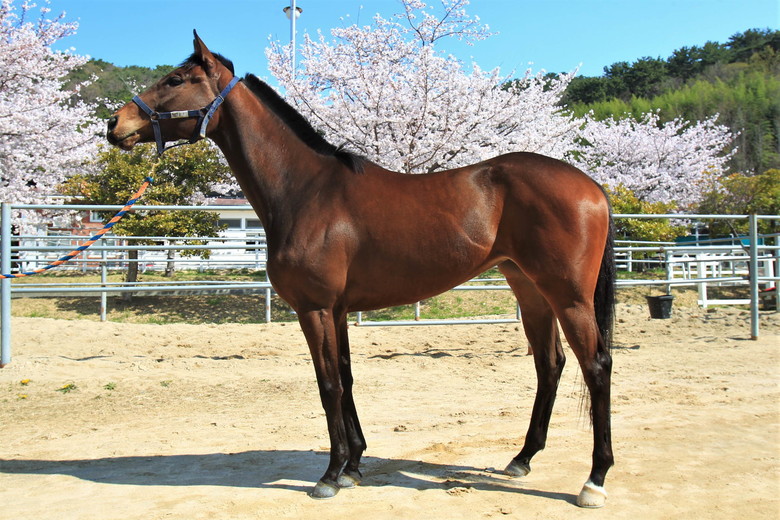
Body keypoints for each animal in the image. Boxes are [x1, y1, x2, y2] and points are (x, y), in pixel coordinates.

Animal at [106, 31, 616, 508]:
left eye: (176, 80)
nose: (115, 123)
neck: (305, 190)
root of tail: (591, 186)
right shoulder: (337, 310)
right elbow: (347, 378)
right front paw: (353, 465)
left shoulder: (314, 309)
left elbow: (328, 383)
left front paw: (330, 476)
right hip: (530, 291)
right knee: (550, 364)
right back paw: (522, 459)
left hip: (568, 296)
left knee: (596, 365)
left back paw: (594, 480)